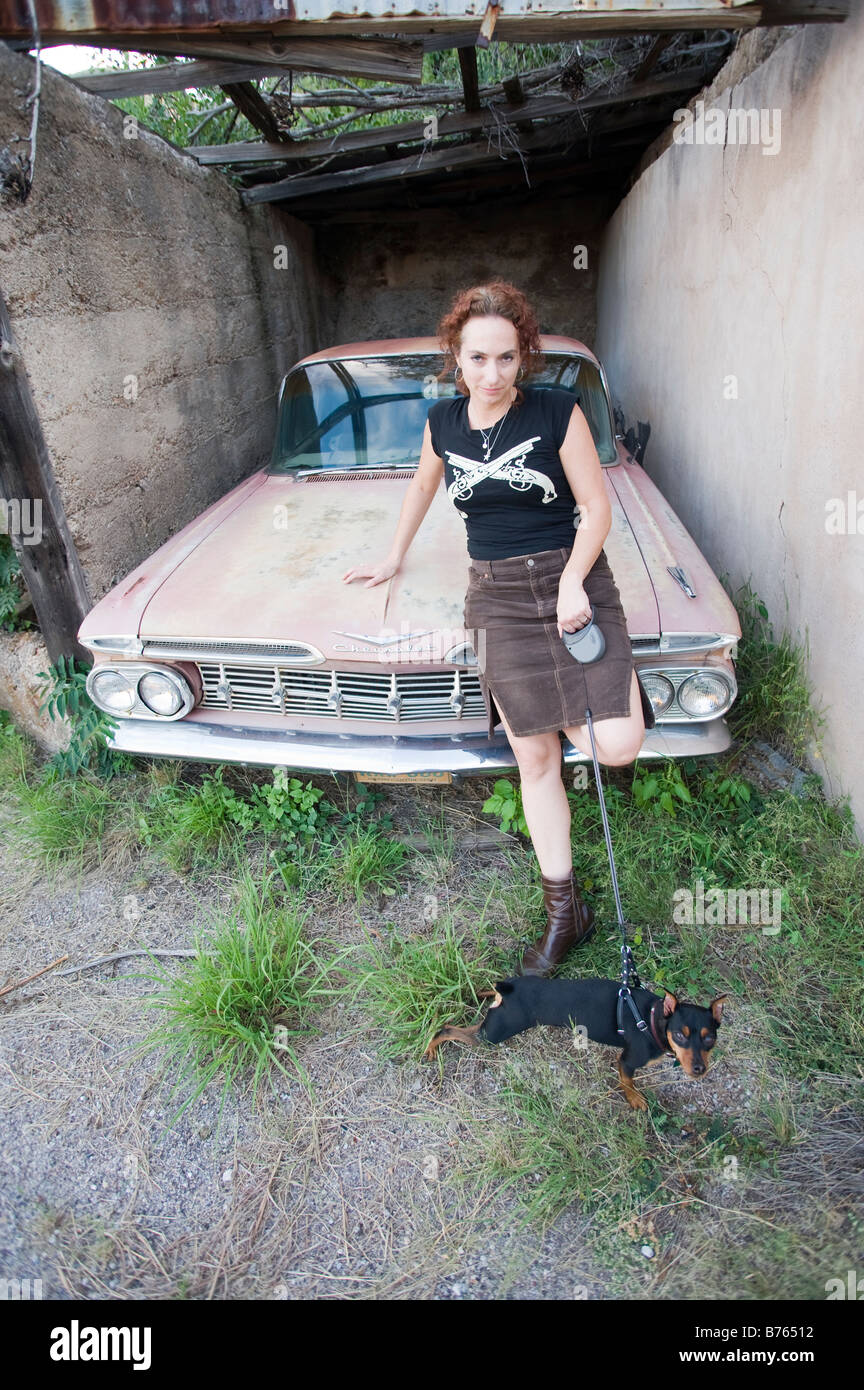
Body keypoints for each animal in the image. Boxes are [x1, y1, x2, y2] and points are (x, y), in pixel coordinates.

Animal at [430, 973, 727, 1112]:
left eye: (709, 1038)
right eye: (680, 1035)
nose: (699, 1069)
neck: (653, 1019)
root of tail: (508, 989)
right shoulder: (627, 1061)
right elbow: (627, 1082)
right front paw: (634, 1099)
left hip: (492, 1023)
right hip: (493, 1034)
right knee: (445, 1029)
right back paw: (431, 1049)